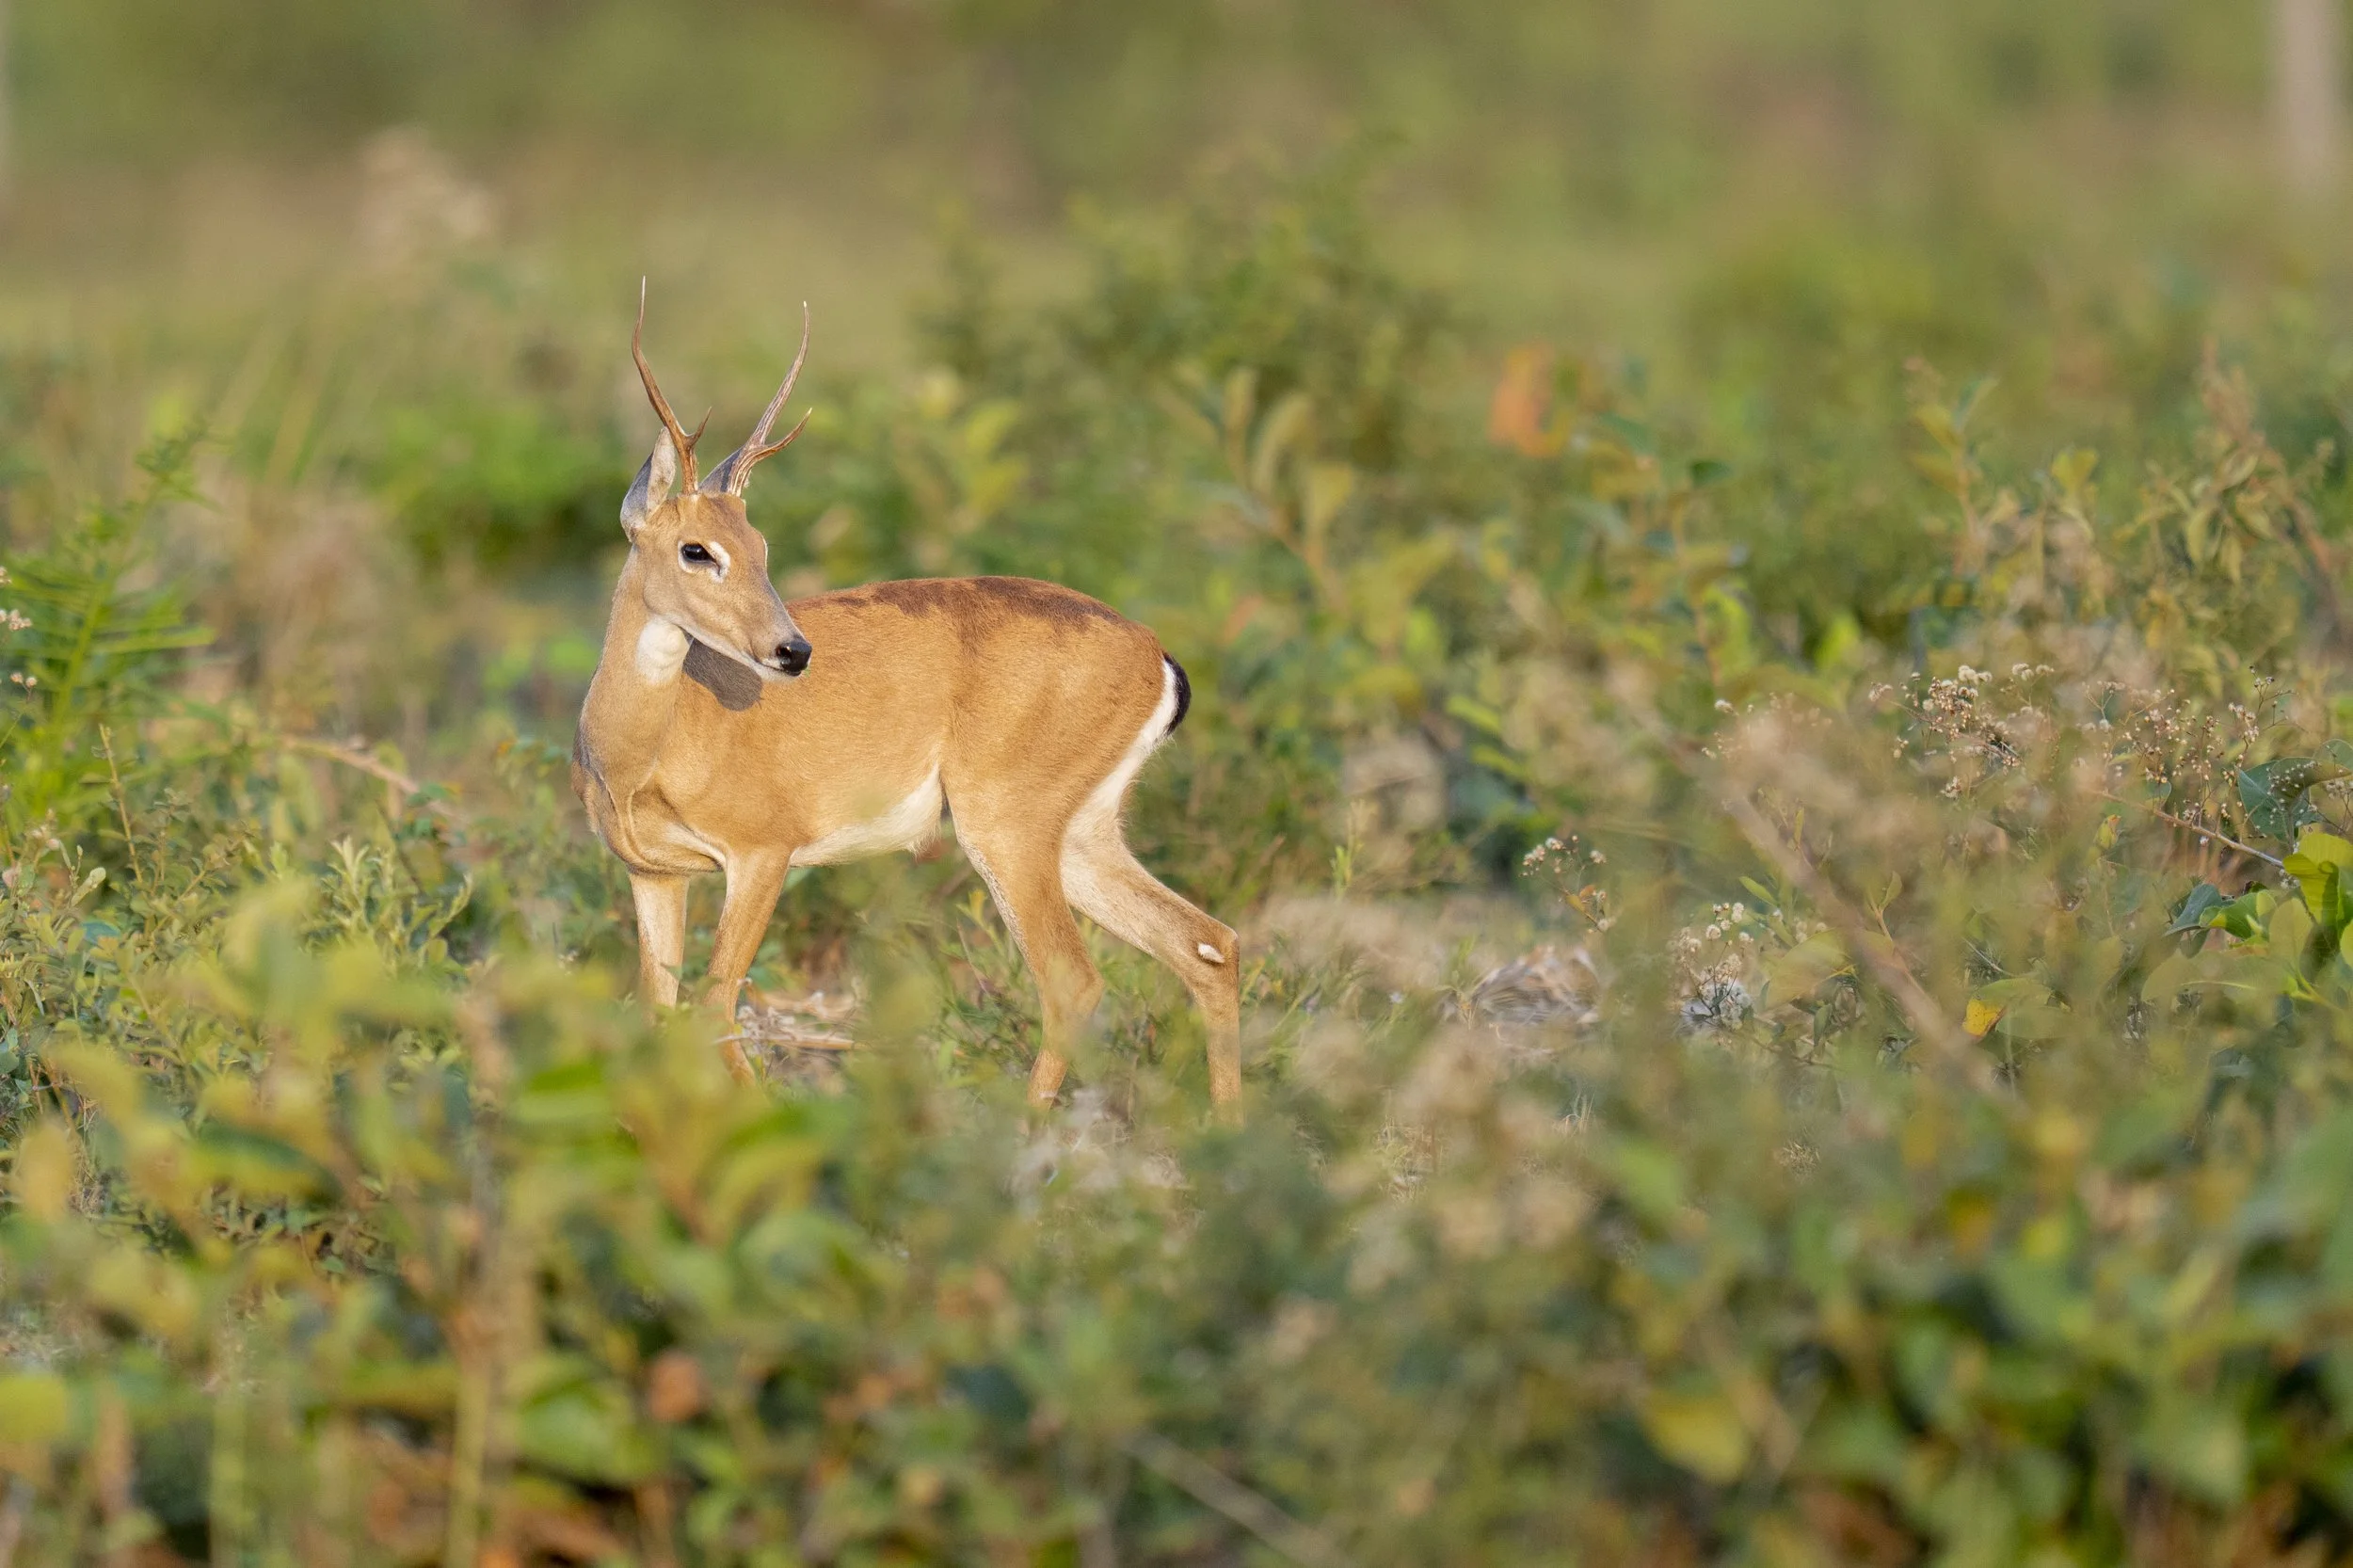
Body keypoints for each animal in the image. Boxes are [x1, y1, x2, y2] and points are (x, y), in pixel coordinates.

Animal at [571, 287, 1242, 1112]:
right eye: (697, 548)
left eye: (759, 549)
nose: (791, 651)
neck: (640, 754)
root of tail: (1156, 656)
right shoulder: (654, 875)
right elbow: (658, 1012)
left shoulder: (762, 855)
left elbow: (715, 1005)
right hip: (1084, 834)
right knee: (1206, 943)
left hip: (1006, 826)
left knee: (1075, 982)